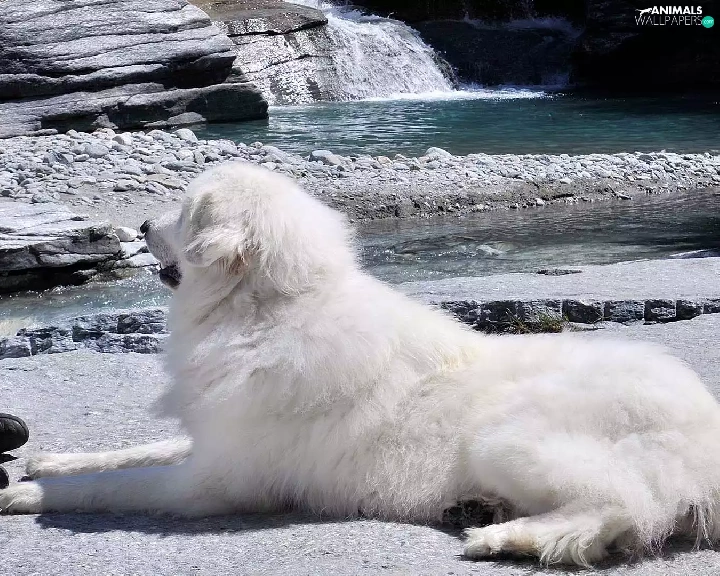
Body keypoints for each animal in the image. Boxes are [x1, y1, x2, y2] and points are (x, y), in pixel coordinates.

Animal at [2, 161, 720, 567]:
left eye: (183, 212)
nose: (144, 224)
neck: (269, 311)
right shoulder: (214, 440)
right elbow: (136, 451)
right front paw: (51, 460)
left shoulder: (212, 485)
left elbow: (115, 486)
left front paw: (26, 493)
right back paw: (483, 512)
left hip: (508, 437)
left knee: (620, 509)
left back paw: (506, 539)